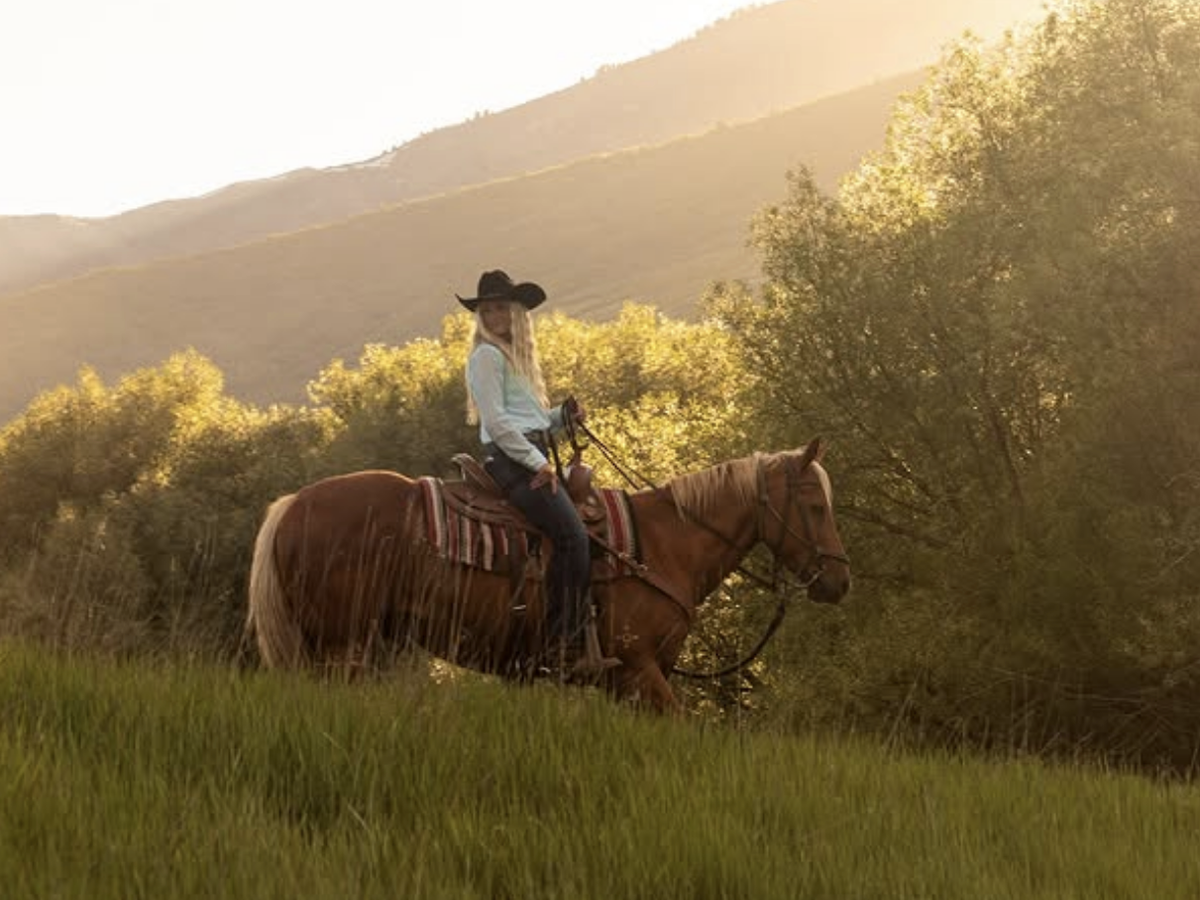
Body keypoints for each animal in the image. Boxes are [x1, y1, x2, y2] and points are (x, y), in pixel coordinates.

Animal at [244, 437, 850, 712]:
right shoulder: (639, 670)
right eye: (815, 505)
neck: (662, 546)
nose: (839, 581)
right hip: (341, 644)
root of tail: (293, 505)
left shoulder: (628, 682)